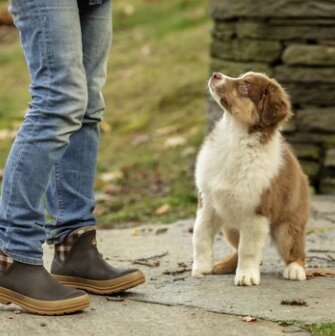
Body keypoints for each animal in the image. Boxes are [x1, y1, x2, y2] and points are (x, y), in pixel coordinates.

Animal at [193, 71, 312, 286]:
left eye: (245, 86)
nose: (215, 74)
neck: (235, 134)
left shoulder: (256, 211)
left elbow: (248, 249)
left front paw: (246, 276)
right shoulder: (208, 202)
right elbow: (201, 235)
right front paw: (200, 267)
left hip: (288, 226)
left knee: (296, 248)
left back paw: (295, 269)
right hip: (230, 226)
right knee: (238, 247)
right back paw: (223, 265)